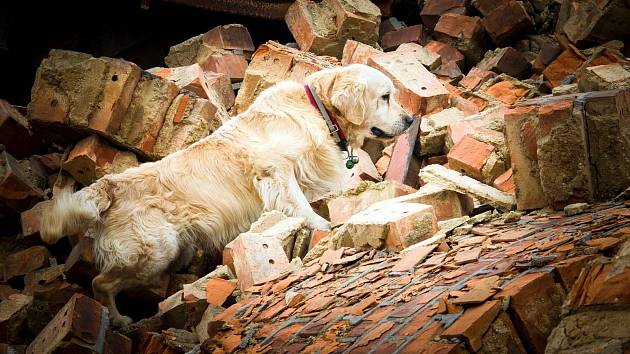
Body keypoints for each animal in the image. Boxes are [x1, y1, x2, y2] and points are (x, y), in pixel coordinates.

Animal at [39, 64, 414, 326]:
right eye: (385, 97)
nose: (411, 120)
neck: (317, 111)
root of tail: (108, 186)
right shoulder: (274, 170)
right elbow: (301, 207)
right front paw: (324, 227)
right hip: (154, 249)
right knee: (101, 283)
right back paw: (117, 320)